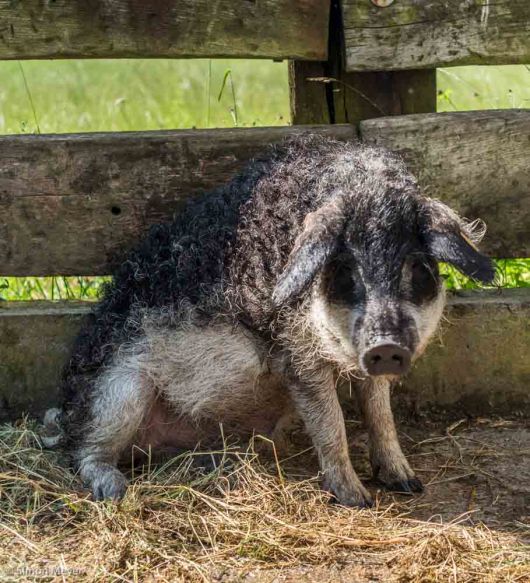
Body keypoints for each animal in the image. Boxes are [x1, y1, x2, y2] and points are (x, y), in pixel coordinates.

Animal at [43, 135, 492, 508]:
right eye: (345, 270)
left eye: (417, 267)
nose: (385, 345)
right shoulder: (295, 350)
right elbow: (330, 421)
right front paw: (358, 500)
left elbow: (380, 412)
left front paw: (408, 483)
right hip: (118, 392)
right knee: (83, 450)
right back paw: (113, 490)